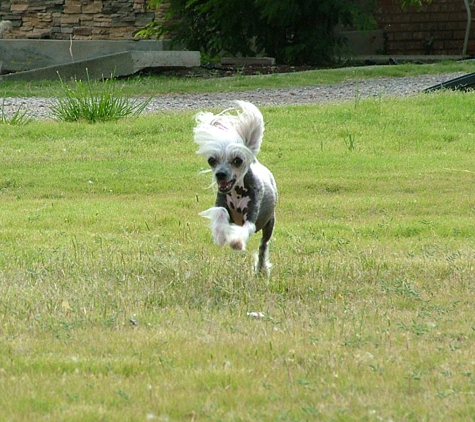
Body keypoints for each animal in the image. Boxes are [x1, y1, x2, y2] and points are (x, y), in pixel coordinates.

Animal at [194, 101, 278, 276]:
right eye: (212, 160)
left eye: (237, 160)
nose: (220, 174)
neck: (236, 193)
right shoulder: (222, 202)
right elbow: (220, 212)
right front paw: (220, 235)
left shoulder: (251, 217)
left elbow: (246, 229)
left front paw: (236, 243)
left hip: (269, 223)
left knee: (263, 245)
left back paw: (261, 268)